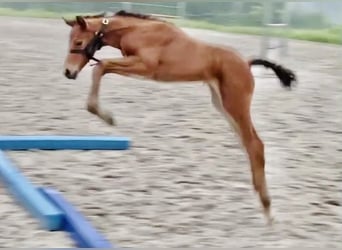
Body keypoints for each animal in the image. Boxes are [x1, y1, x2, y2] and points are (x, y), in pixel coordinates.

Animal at [62, 9, 298, 225]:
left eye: (79, 41)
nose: (68, 72)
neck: (138, 30)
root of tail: (246, 63)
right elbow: (103, 68)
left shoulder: (145, 66)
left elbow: (101, 66)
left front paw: (105, 115)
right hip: (222, 105)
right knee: (248, 144)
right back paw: (263, 203)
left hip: (235, 104)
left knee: (255, 144)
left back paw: (267, 207)